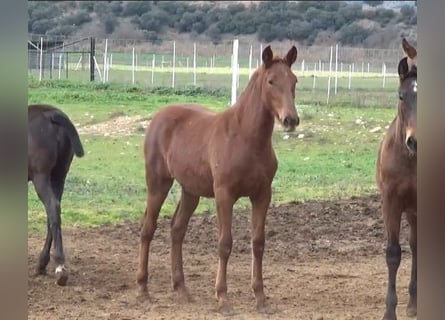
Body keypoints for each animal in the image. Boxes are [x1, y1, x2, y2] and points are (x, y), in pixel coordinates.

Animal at [28, 104, 84, 284]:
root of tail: (50, 114)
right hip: (59, 176)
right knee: (54, 214)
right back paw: (43, 263)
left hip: (41, 176)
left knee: (52, 208)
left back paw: (59, 266)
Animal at [137, 46, 300, 314]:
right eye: (271, 81)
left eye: (294, 81)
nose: (291, 120)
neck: (246, 138)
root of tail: (159, 116)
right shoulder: (224, 195)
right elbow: (225, 243)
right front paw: (223, 298)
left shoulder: (262, 194)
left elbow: (258, 242)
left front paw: (261, 298)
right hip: (158, 183)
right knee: (148, 229)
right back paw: (143, 289)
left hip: (190, 191)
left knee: (177, 229)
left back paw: (181, 289)